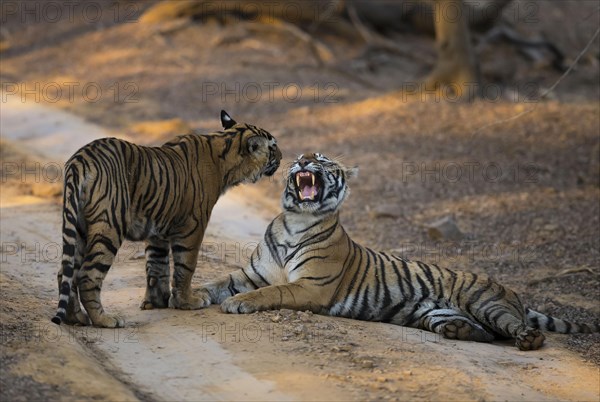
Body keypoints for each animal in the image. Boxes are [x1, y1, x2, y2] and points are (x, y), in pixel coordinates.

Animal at [51, 111, 282, 328]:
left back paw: (76, 317)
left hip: (80, 228)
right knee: (87, 275)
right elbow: (185, 266)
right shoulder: (193, 226)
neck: (225, 151)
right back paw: (105, 320)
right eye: (272, 147)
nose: (282, 156)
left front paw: (156, 302)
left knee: (65, 273)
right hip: (109, 227)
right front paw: (187, 301)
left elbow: (157, 266)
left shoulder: (158, 229)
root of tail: (81, 159)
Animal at [198, 152, 600, 350]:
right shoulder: (250, 274)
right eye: (300, 156)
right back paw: (459, 331)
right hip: (436, 313)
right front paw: (194, 296)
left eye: (323, 160)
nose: (302, 161)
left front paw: (238, 303)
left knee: (514, 329)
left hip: (486, 302)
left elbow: (273, 291)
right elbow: (217, 282)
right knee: (487, 334)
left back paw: (528, 339)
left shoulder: (311, 286)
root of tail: (512, 291)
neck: (296, 220)